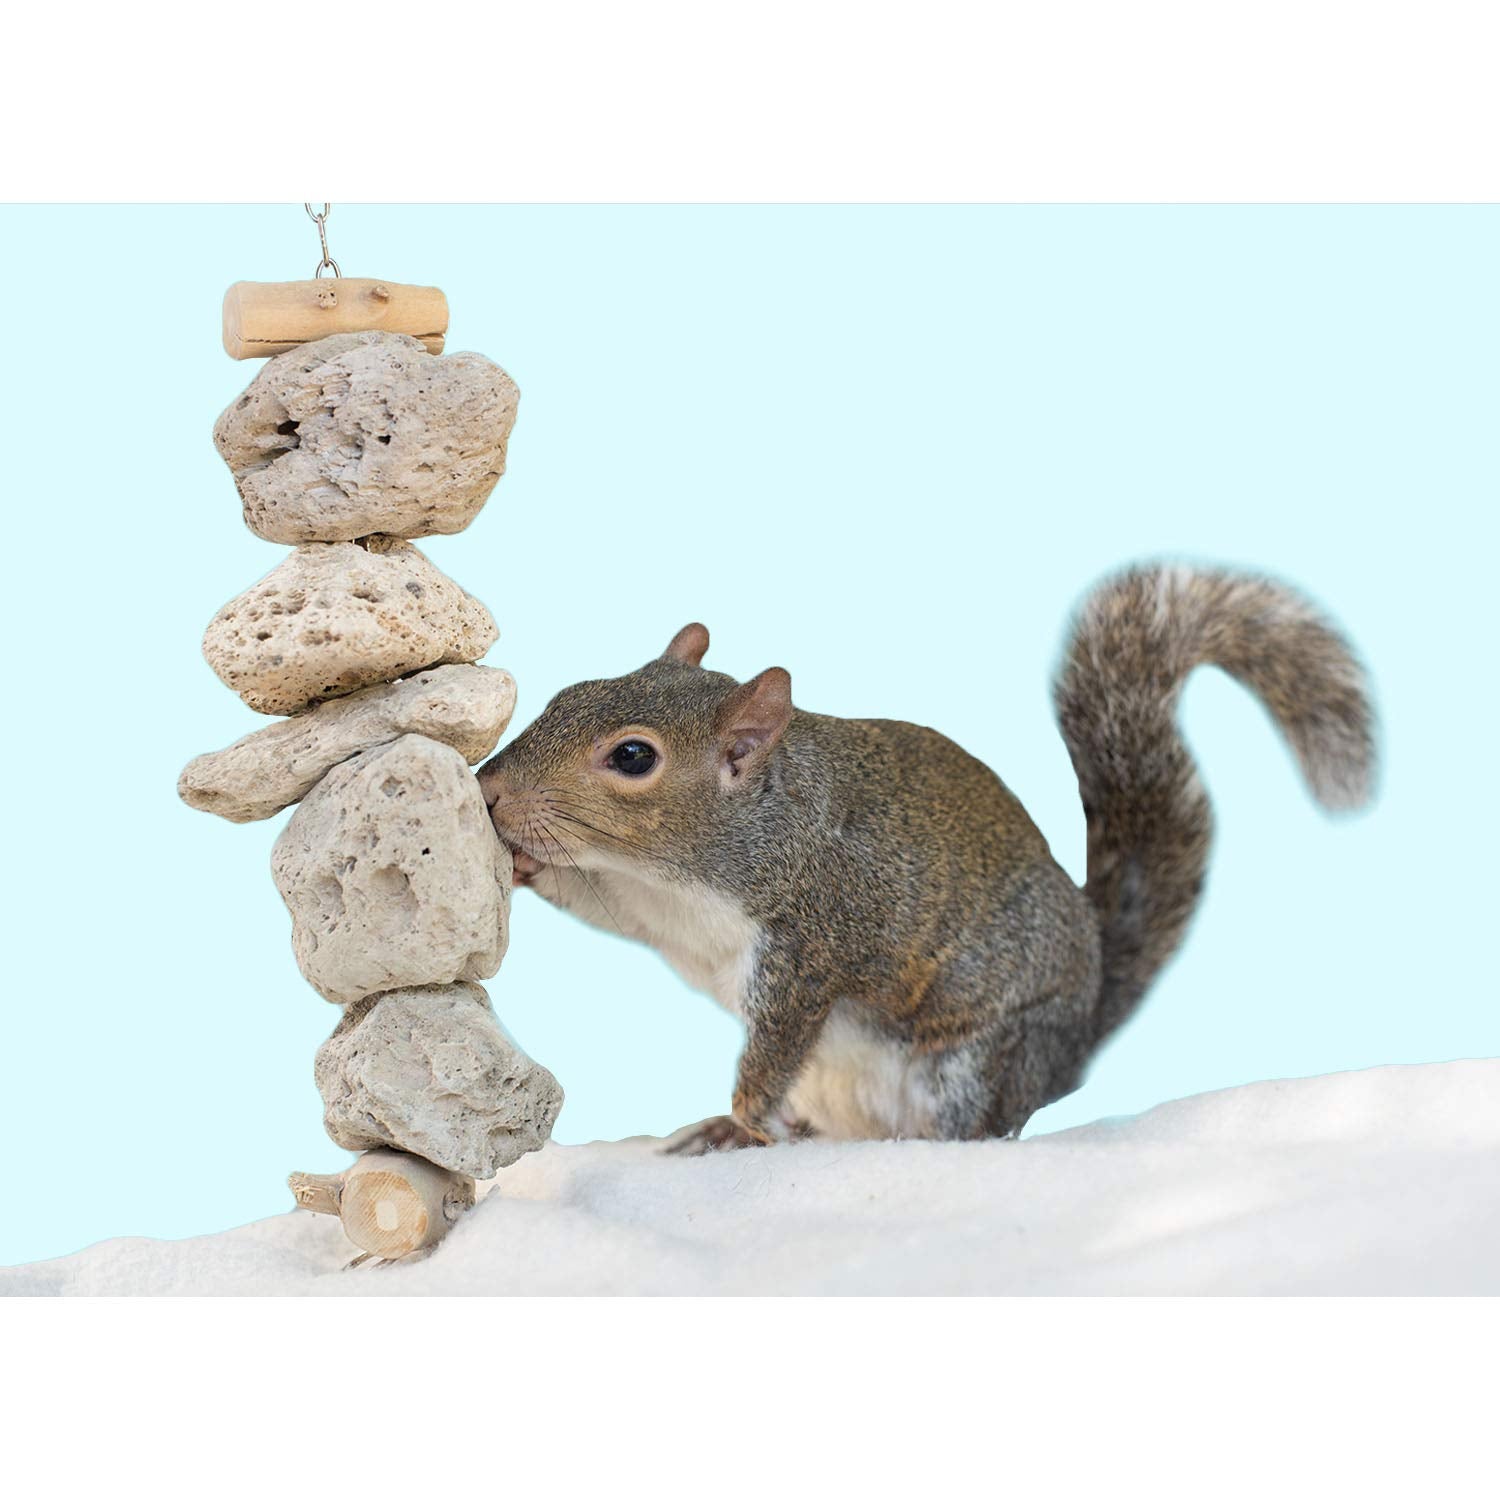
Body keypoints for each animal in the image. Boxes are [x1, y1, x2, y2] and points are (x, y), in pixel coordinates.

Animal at [477, 564, 1375, 1154]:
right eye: (565, 696)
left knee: (978, 1124)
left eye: (632, 757)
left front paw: (741, 1121)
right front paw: (523, 863)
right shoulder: (645, 903)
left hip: (977, 1062)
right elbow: (602, 906)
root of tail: (1078, 1039)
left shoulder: (812, 942)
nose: (490, 790)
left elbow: (774, 1046)